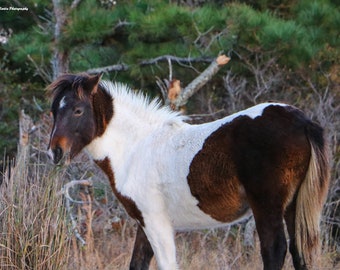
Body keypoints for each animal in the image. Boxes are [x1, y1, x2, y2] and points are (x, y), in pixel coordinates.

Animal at [47, 73, 330, 270]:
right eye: (53, 111)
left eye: (78, 110)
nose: (55, 153)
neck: (137, 147)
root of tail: (302, 121)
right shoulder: (144, 221)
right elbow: (138, 263)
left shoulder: (155, 221)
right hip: (294, 205)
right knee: (299, 252)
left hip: (267, 206)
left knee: (274, 250)